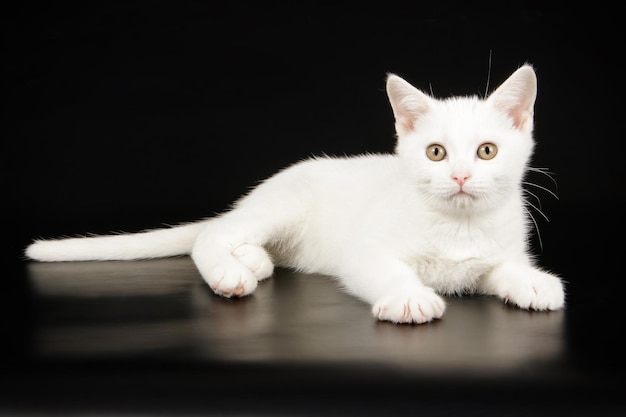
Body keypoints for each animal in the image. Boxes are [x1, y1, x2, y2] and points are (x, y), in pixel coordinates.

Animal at [24, 65, 564, 324]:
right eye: (436, 153)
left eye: (487, 151)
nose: (460, 177)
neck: (459, 226)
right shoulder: (365, 254)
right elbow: (388, 270)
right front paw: (410, 298)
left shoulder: (496, 253)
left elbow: (502, 267)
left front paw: (533, 283)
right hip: (283, 207)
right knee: (211, 235)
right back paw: (230, 272)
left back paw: (253, 261)